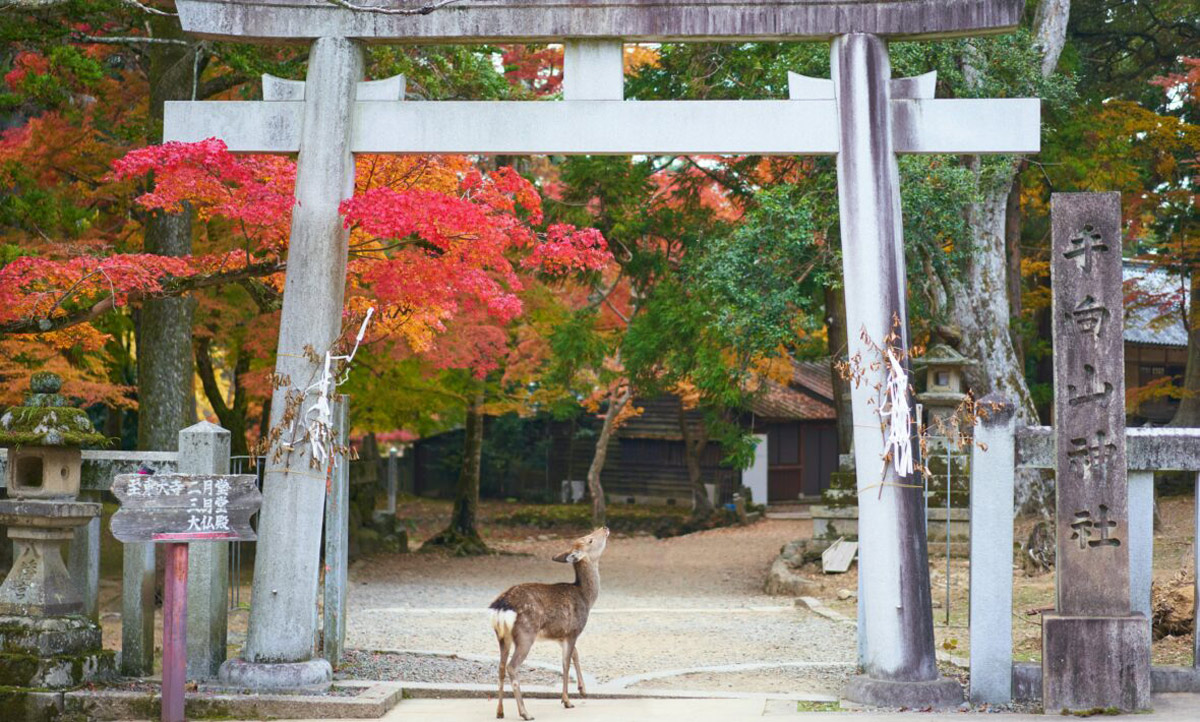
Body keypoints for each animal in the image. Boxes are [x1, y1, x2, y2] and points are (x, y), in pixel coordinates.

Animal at [487, 526, 609, 720]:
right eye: (589, 539)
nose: (604, 528)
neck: (586, 597)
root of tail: (501, 607)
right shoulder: (573, 630)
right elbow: (566, 663)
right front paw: (567, 701)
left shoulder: (560, 635)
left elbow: (575, 654)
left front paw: (583, 690)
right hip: (525, 633)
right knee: (512, 666)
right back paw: (525, 713)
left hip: (501, 636)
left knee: (500, 667)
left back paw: (500, 711)